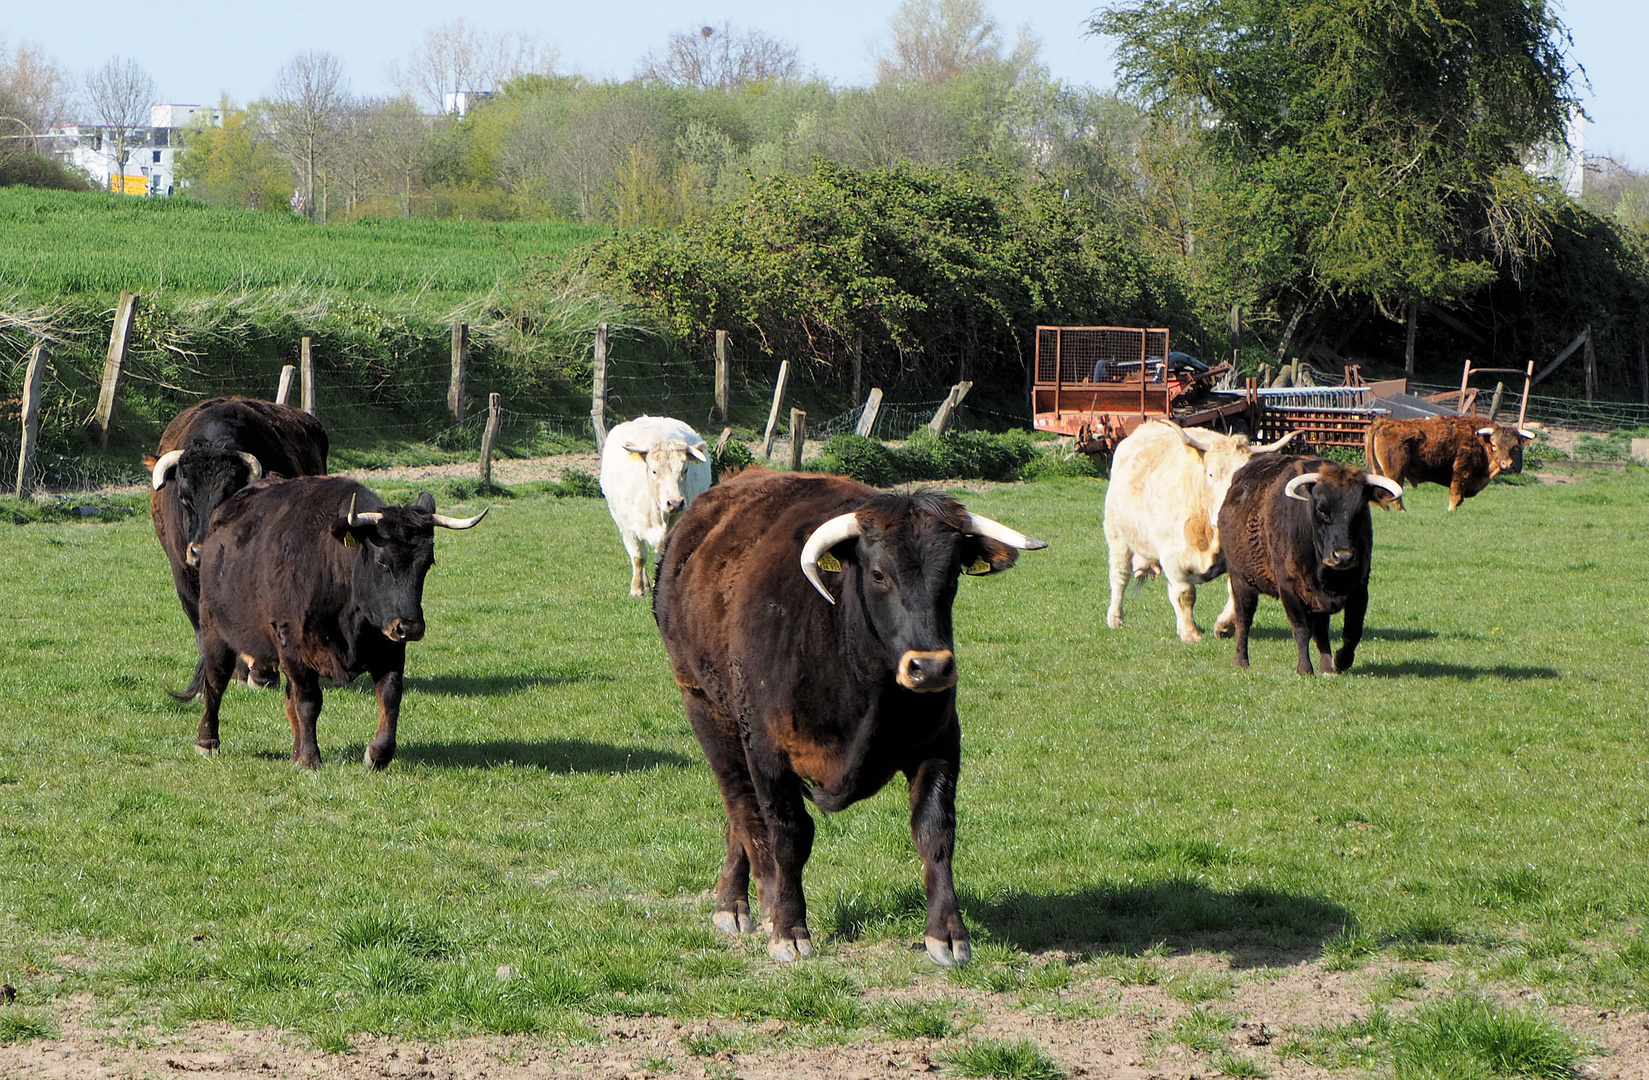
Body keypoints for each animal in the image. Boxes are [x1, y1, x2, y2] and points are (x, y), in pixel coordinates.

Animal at [184, 478, 488, 768]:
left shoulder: (389, 648)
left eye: (427, 563)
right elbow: (308, 702)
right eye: (382, 561)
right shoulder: (294, 648)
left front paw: (377, 754)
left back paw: (293, 753)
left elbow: (390, 695)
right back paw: (207, 740)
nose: (410, 627)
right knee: (215, 682)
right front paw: (310, 759)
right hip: (215, 632)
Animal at [603, 415, 712, 600]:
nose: (675, 502)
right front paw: (636, 589)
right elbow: (638, 557)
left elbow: (660, 557)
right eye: (654, 471)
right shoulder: (628, 527)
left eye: (685, 470)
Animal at [653, 468, 1042, 969]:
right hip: (705, 705)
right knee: (741, 805)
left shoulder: (940, 743)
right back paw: (741, 904)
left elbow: (935, 832)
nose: (930, 667)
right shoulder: (768, 748)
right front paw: (788, 928)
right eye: (878, 574)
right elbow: (788, 834)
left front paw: (948, 933)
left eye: (952, 573)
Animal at [1101, 420, 1292, 643]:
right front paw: (1190, 633)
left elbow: (1234, 594)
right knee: (1119, 577)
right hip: (1117, 537)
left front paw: (1223, 627)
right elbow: (1185, 594)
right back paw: (1115, 618)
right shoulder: (1173, 557)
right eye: (1210, 474)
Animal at [1358, 418, 1536, 511]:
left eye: (1515, 446)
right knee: (1395, 498)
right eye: (1494, 445)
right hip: (1395, 474)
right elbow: (1455, 495)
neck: (1480, 441)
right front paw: (1451, 510)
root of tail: (1383, 422)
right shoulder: (1461, 472)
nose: (1507, 464)